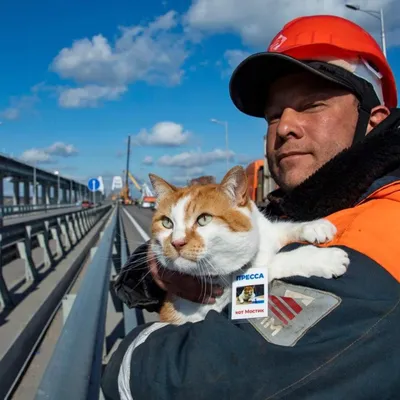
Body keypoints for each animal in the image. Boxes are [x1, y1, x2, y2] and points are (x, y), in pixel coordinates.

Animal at [148, 166, 348, 324]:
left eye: (204, 219)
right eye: (167, 223)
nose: (176, 242)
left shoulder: (269, 232)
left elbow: (283, 228)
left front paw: (314, 226)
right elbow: (272, 264)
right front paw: (323, 258)